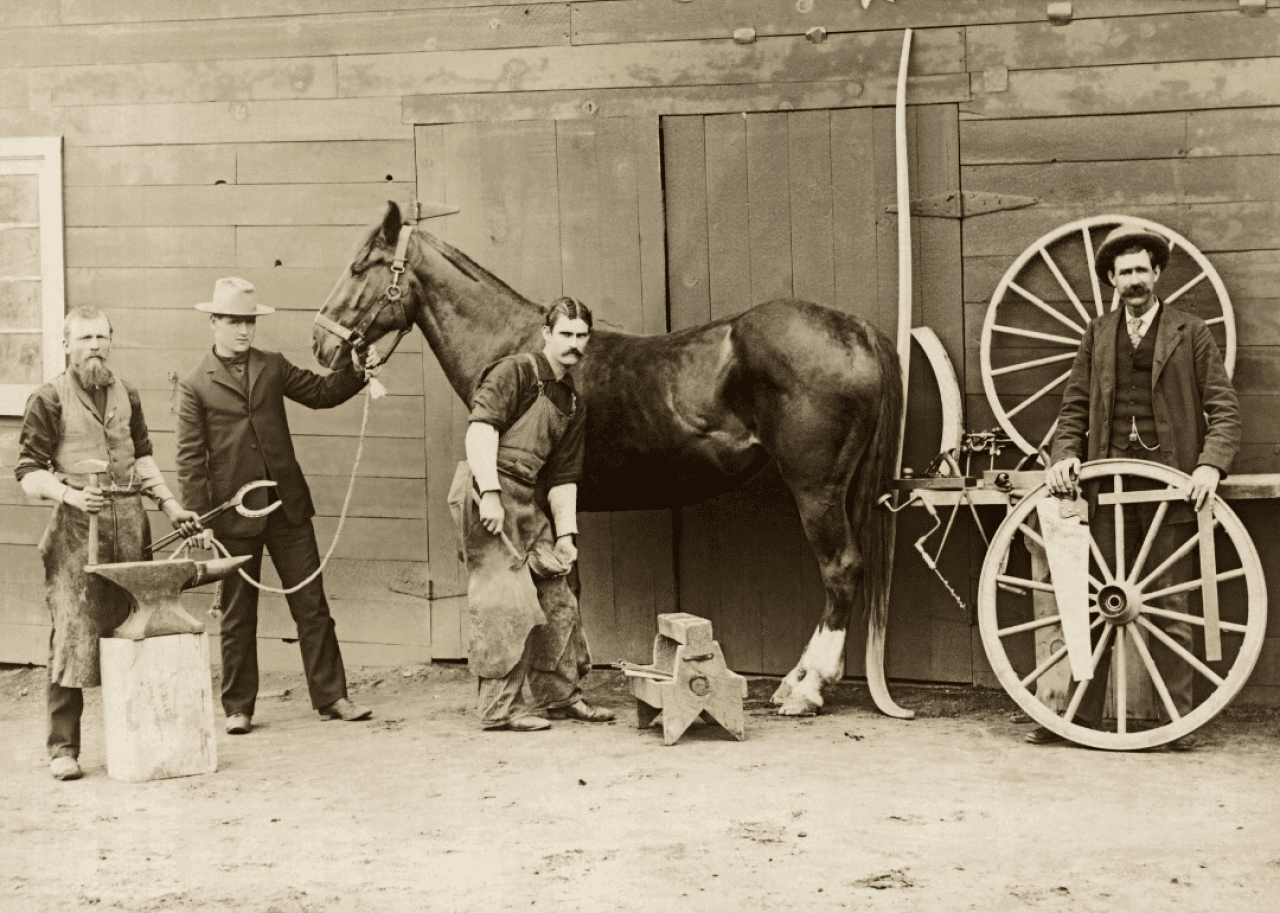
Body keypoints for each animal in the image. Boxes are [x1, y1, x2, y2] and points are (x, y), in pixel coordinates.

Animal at [313, 201, 908, 718]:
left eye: (359, 266)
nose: (321, 343)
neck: (527, 348)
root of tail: (854, 328)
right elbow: (566, 583)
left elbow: (557, 588)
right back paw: (796, 681)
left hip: (817, 490)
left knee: (841, 570)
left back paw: (806, 691)